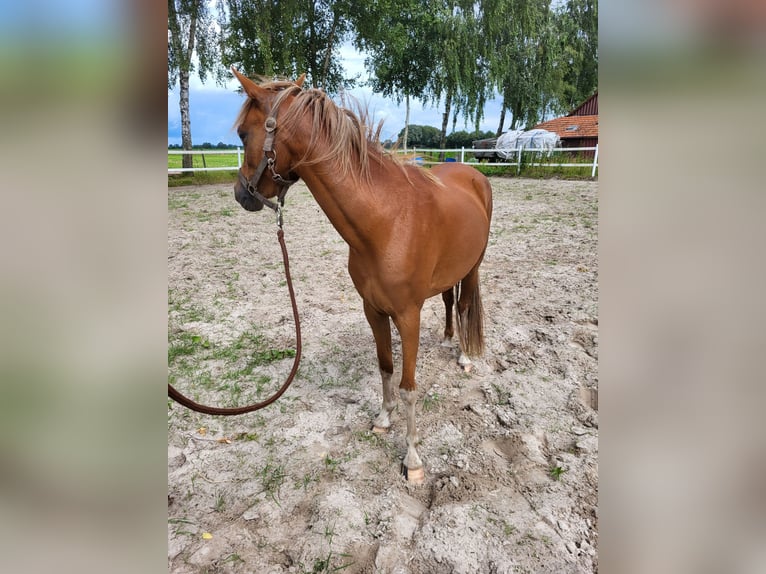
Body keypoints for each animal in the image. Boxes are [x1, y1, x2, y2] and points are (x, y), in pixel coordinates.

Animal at [232, 71, 492, 486]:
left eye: (243, 133)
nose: (241, 194)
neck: (385, 222)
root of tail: (473, 174)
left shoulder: (408, 315)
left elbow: (409, 387)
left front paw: (412, 458)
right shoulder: (373, 310)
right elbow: (385, 367)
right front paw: (383, 419)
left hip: (473, 267)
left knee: (465, 304)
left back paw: (464, 356)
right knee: (449, 301)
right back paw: (448, 338)